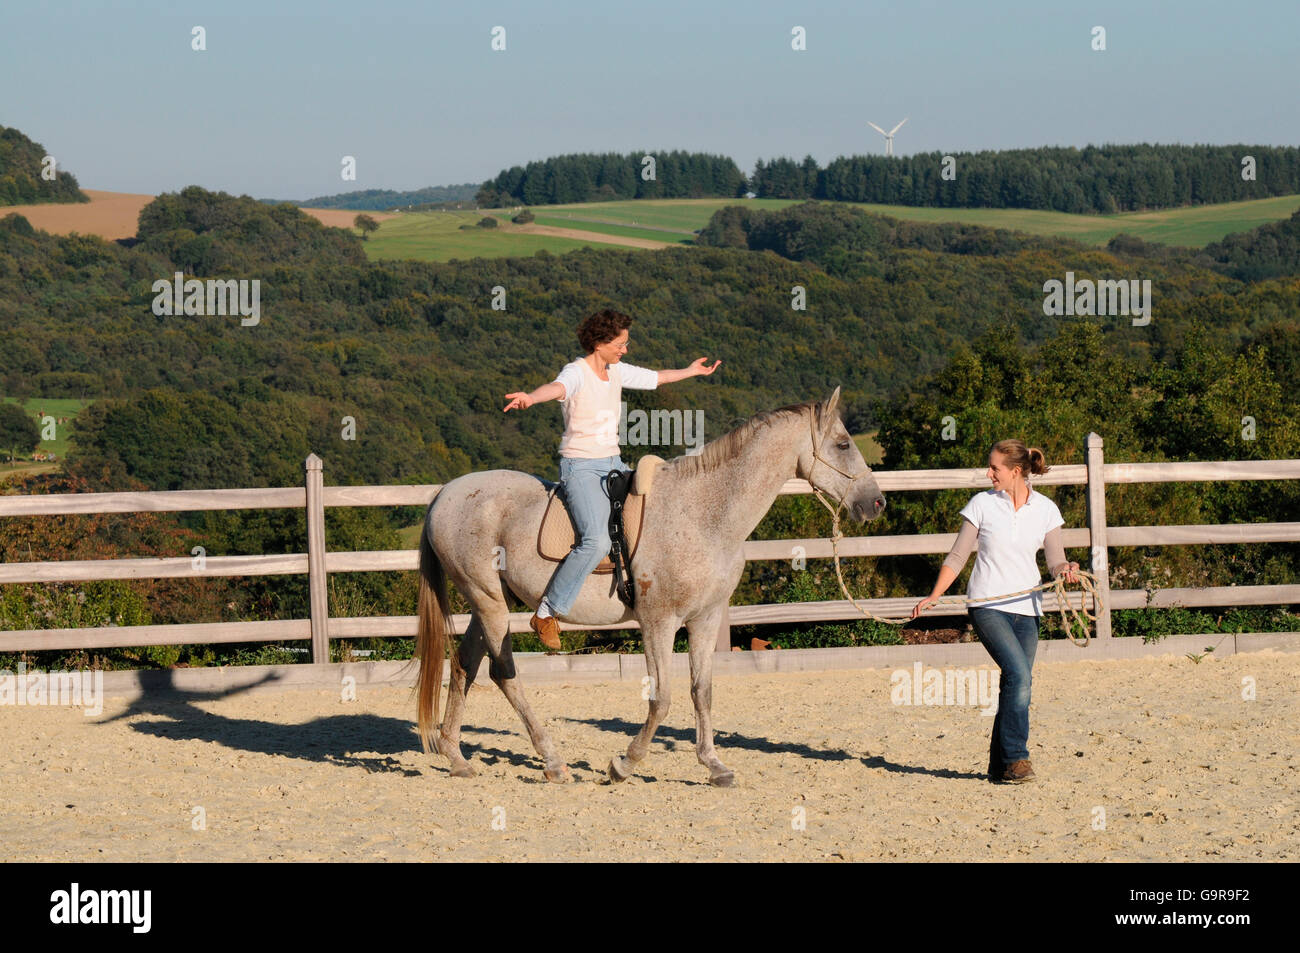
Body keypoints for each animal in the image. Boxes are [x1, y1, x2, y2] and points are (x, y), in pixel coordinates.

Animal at [413, 382, 883, 785]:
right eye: (843, 444)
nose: (875, 502)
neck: (702, 513)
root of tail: (444, 495)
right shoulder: (658, 622)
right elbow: (663, 698)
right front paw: (624, 763)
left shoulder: (705, 619)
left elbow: (701, 692)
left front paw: (714, 765)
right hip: (489, 603)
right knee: (504, 673)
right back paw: (552, 761)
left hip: (488, 603)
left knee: (464, 666)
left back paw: (457, 757)